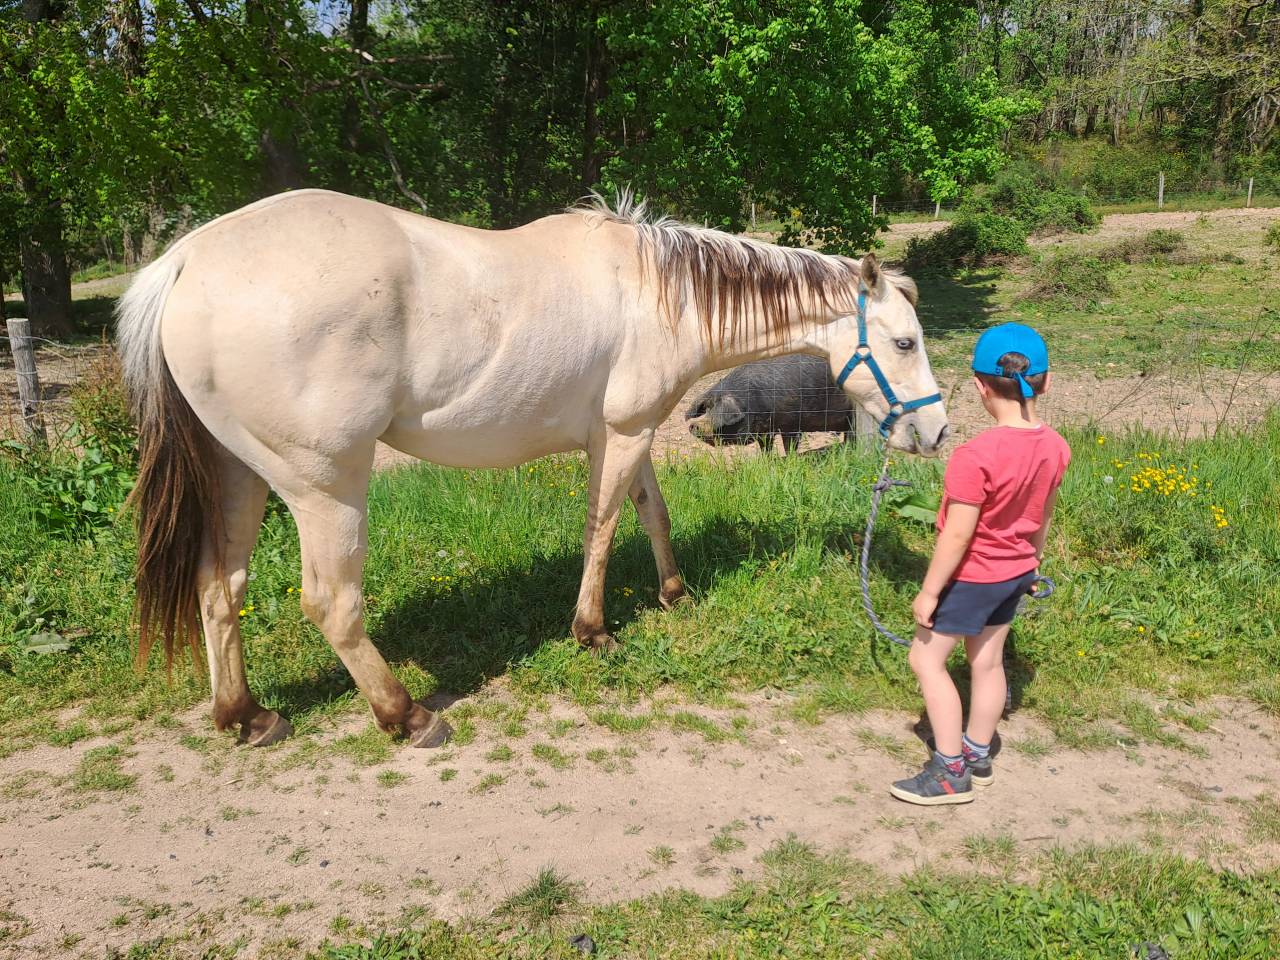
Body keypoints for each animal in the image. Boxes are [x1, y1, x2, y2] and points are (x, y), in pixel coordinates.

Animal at [116, 188, 949, 748]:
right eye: (905, 342)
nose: (937, 432)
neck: (661, 293)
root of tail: (187, 262)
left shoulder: (627, 434)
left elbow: (651, 512)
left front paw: (674, 593)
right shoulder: (622, 435)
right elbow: (604, 526)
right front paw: (593, 631)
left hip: (239, 476)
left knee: (218, 587)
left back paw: (247, 716)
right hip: (323, 487)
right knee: (331, 604)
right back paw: (406, 714)